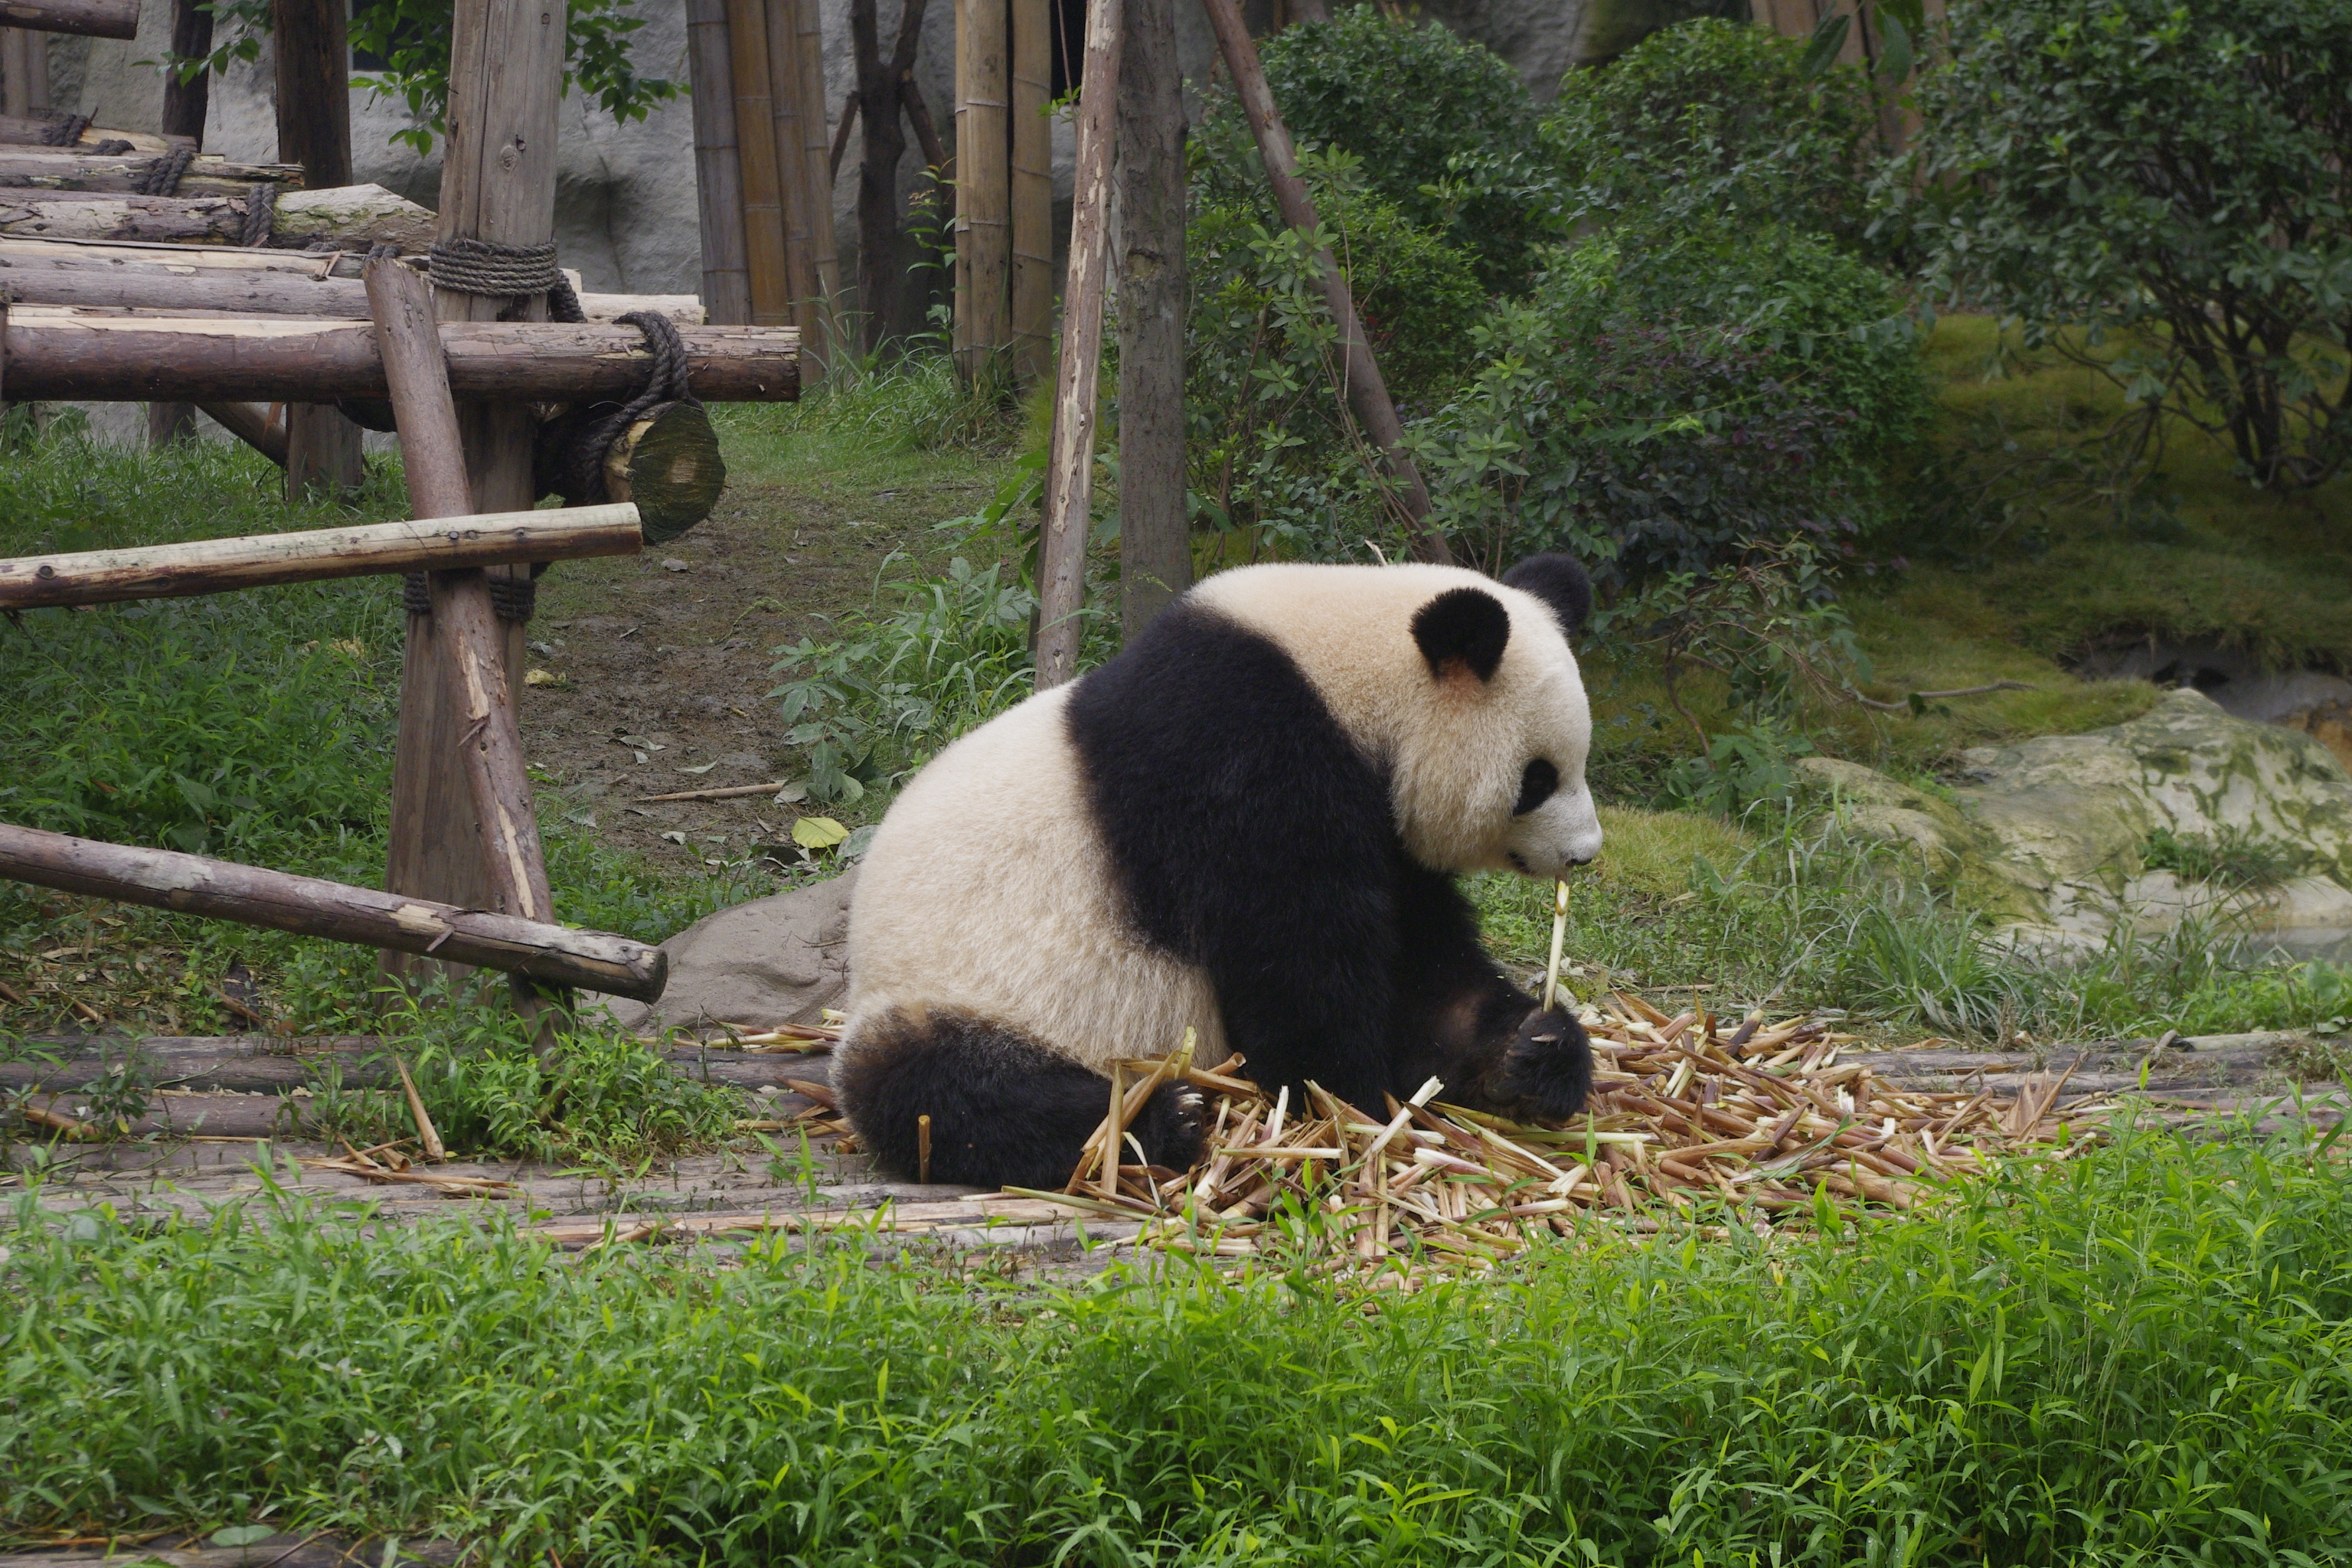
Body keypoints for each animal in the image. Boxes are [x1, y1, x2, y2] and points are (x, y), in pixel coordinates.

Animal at [828, 554, 1599, 1189]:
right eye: (1537, 778)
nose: (1585, 853)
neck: (1349, 679)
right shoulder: (1242, 759)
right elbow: (1298, 960)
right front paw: (1344, 1105)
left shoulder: (1385, 833)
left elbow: (1423, 964)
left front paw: (1533, 1051)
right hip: (955, 995)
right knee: (946, 1093)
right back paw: (1163, 1119)